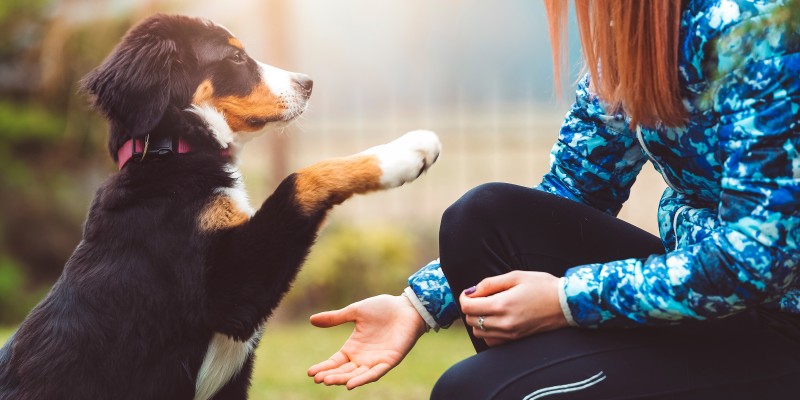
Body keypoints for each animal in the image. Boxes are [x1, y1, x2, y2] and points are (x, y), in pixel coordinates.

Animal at [0, 14, 438, 398]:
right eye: (235, 58)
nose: (308, 83)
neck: (171, 152)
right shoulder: (230, 289)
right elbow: (301, 179)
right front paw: (403, 154)